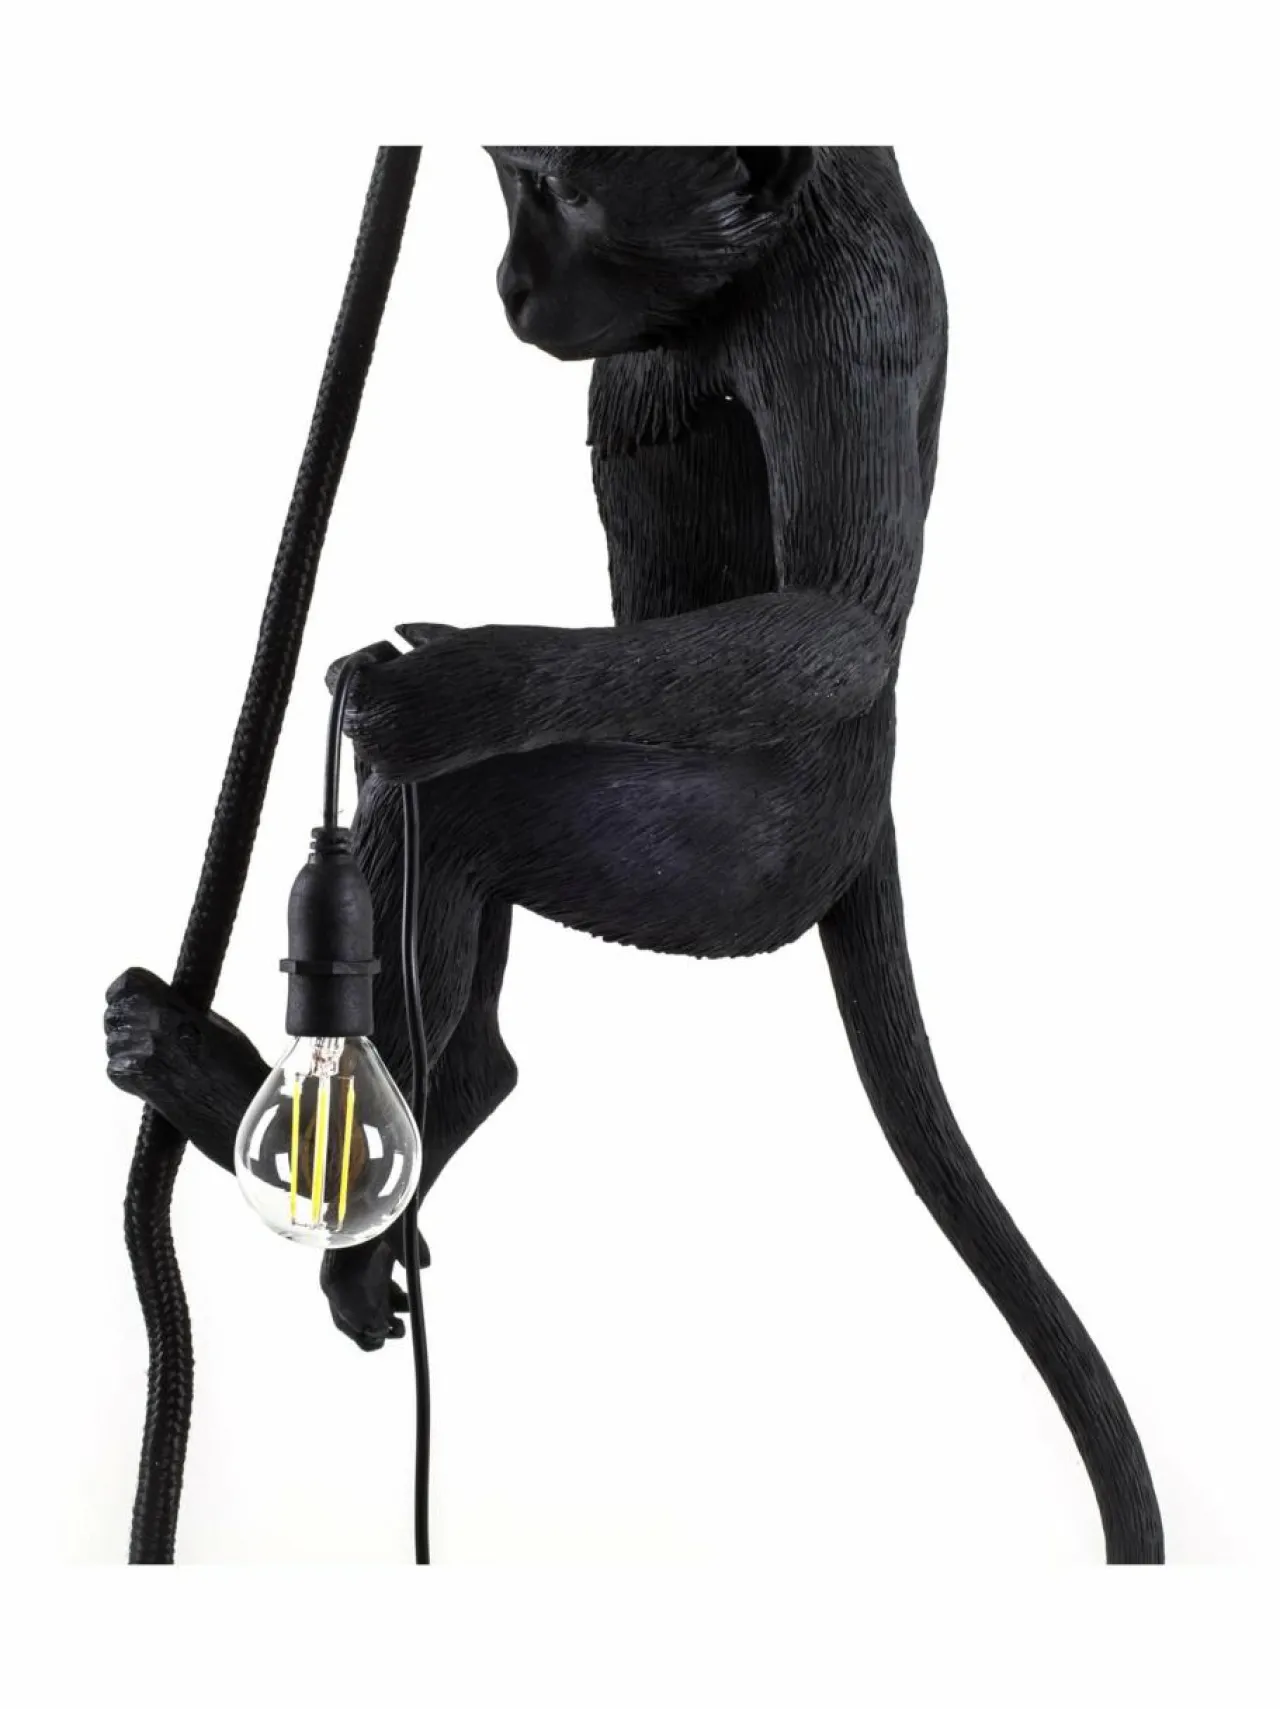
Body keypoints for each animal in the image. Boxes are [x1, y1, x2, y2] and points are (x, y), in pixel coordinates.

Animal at [105, 146, 1163, 1562]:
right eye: (510, 183)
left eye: (559, 191)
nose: (508, 280)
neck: (751, 270)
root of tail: (868, 812)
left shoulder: (845, 313)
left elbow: (833, 623)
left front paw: (447, 678)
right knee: (456, 942)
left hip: (731, 861)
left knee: (466, 809)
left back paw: (257, 1117)